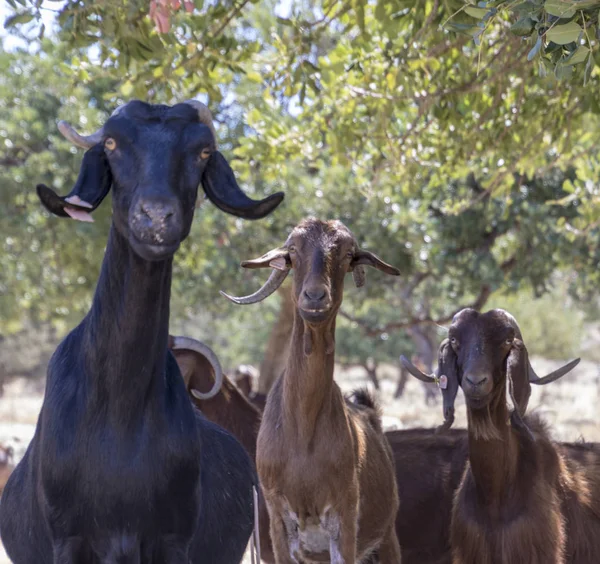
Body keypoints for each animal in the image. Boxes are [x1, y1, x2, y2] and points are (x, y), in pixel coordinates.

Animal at [0, 101, 284, 564]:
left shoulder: (172, 539)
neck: (120, 414)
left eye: (203, 152)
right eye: (113, 144)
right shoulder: (69, 539)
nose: (155, 218)